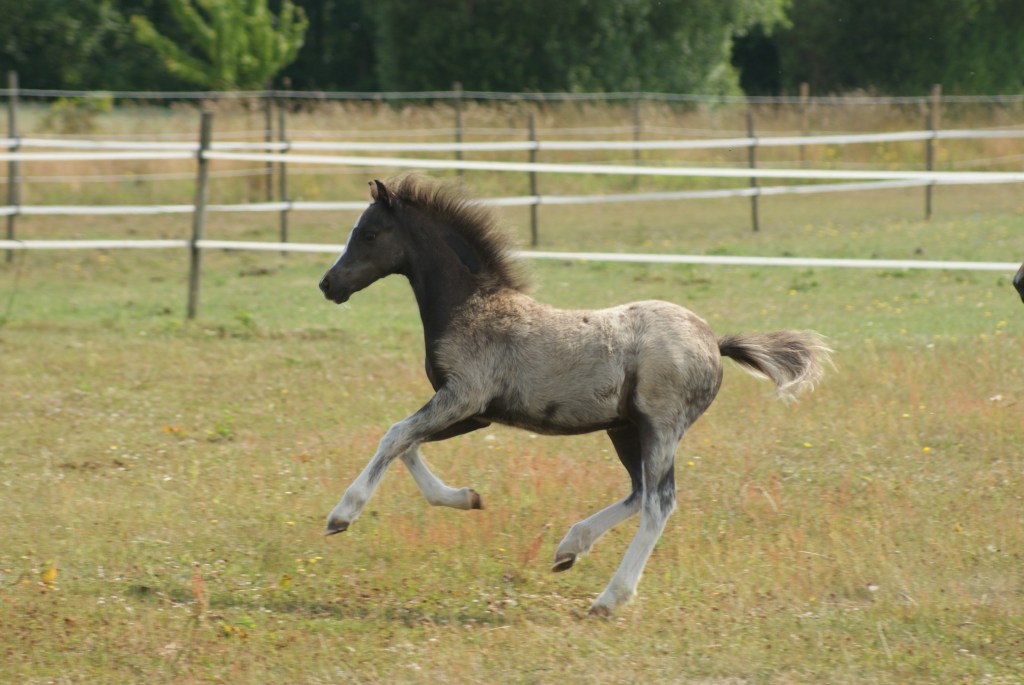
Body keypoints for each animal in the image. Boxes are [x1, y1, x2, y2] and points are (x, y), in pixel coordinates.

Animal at [318, 176, 832, 616]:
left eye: (369, 233)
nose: (328, 284)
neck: (473, 308)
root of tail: (714, 342)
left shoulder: (463, 396)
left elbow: (394, 435)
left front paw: (342, 514)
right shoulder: (473, 413)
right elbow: (408, 445)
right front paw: (467, 498)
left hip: (660, 426)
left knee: (659, 502)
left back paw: (608, 598)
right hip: (624, 429)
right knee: (639, 491)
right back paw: (570, 548)